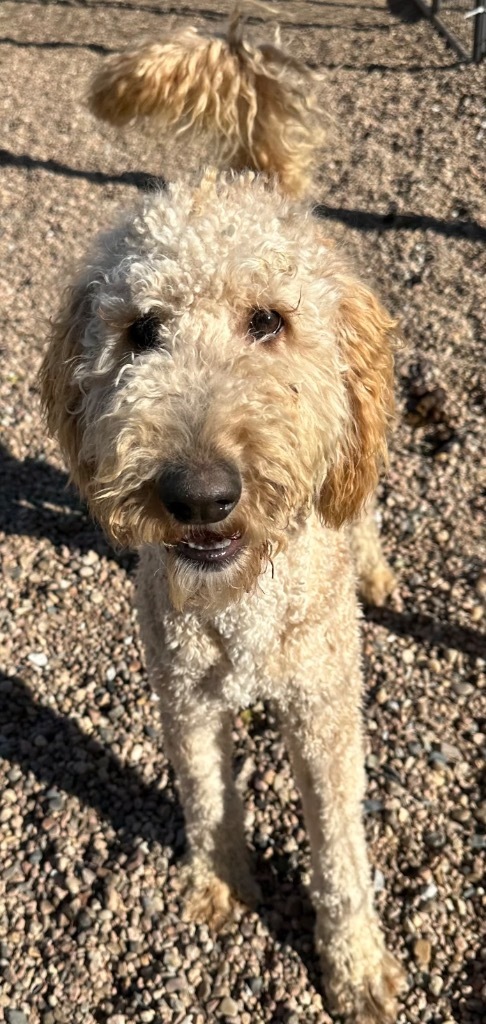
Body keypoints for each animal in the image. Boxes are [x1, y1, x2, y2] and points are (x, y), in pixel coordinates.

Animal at [39, 9, 407, 1024]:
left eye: (269, 321)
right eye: (141, 332)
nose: (198, 494)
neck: (240, 601)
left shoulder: (324, 713)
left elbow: (339, 850)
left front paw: (354, 964)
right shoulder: (184, 699)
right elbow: (207, 798)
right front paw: (219, 887)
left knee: (361, 503)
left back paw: (373, 567)